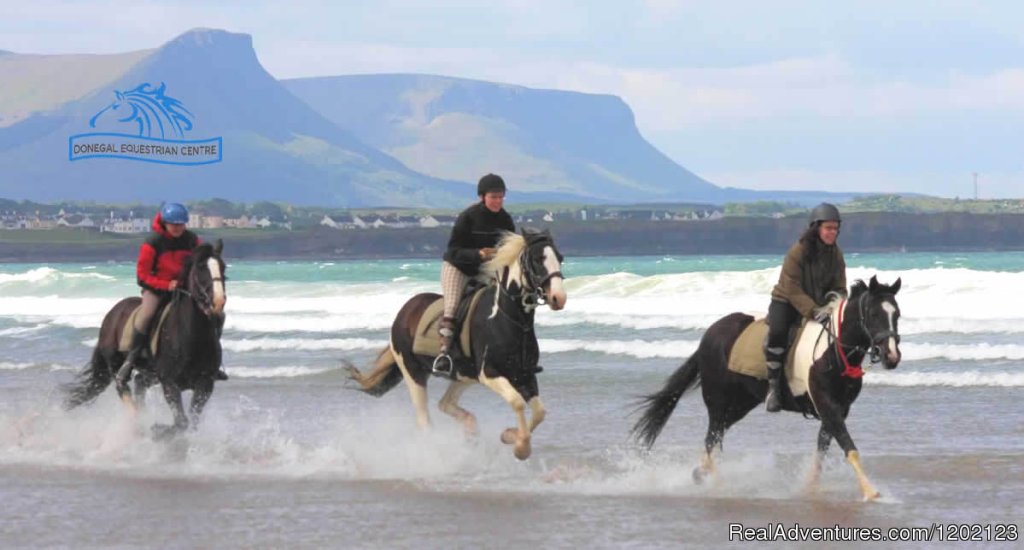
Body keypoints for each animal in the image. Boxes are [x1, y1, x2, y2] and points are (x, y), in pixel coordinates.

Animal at [62, 239, 227, 438]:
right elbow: (181, 422)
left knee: (139, 382)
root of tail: (112, 313)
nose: (218, 302)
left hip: (150, 372)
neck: (193, 338)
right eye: (201, 268)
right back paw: (137, 419)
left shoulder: (205, 384)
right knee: (122, 384)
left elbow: (191, 423)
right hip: (115, 363)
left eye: (223, 267)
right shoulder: (170, 383)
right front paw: (159, 431)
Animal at [630, 276, 905, 499]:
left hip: (741, 403)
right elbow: (849, 447)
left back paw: (700, 474)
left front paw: (810, 488)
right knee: (712, 438)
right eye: (873, 314)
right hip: (717, 400)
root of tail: (709, 335)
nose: (891, 356)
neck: (834, 350)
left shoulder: (839, 408)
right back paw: (717, 485)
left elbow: (822, 449)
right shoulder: (827, 406)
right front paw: (871, 492)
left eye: (897, 314)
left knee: (716, 437)